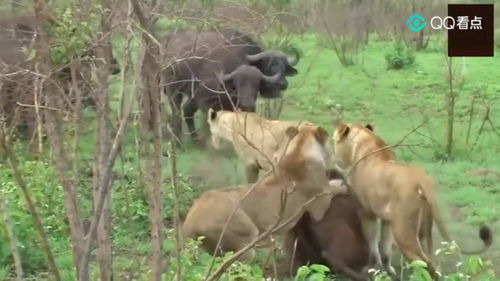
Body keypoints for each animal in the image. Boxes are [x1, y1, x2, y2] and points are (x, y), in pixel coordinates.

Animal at [162, 27, 298, 141]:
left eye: (285, 67)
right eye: (270, 65)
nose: (282, 84)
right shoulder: (208, 101)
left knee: (187, 111)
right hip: (174, 90)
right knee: (176, 113)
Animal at [183, 123, 348, 260]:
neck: (299, 150)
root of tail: (189, 222)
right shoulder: (319, 207)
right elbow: (331, 190)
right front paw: (340, 185)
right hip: (246, 236)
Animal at [332, 120, 492, 278]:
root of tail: (420, 178)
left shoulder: (367, 212)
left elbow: (372, 244)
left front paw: (371, 268)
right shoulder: (387, 220)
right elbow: (385, 248)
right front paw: (388, 270)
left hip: (403, 232)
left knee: (424, 263)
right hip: (423, 232)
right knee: (432, 263)